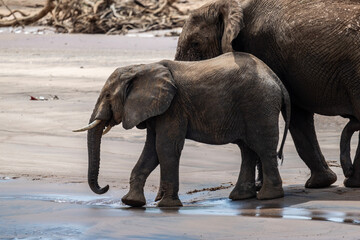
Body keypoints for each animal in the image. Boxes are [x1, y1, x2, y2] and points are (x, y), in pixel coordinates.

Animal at [74, 52, 292, 206]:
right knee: (247, 149)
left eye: (107, 96)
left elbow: (165, 148)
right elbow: (152, 151)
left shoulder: (173, 107)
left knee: (262, 147)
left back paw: (269, 197)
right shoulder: (158, 109)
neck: (142, 68)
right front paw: (131, 202)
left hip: (259, 105)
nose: (105, 186)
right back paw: (240, 197)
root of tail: (277, 80)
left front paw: (166, 205)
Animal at [176, 0, 360, 188]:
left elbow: (294, 116)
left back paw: (352, 180)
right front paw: (321, 182)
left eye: (195, 43)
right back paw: (353, 181)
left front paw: (260, 187)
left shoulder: (262, 50)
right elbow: (299, 116)